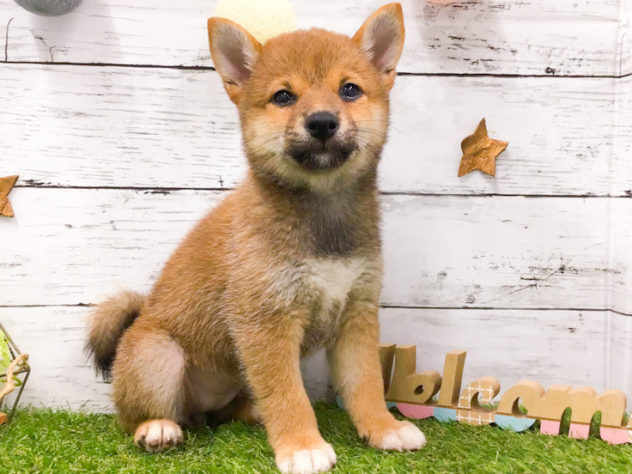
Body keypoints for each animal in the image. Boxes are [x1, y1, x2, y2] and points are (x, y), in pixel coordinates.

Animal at [86, 4, 424, 474]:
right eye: (283, 97)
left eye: (350, 90)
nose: (322, 121)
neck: (322, 214)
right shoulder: (266, 321)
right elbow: (288, 395)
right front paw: (302, 445)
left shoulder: (356, 314)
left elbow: (366, 384)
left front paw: (383, 427)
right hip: (159, 354)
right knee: (135, 416)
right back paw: (157, 428)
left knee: (229, 410)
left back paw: (250, 413)